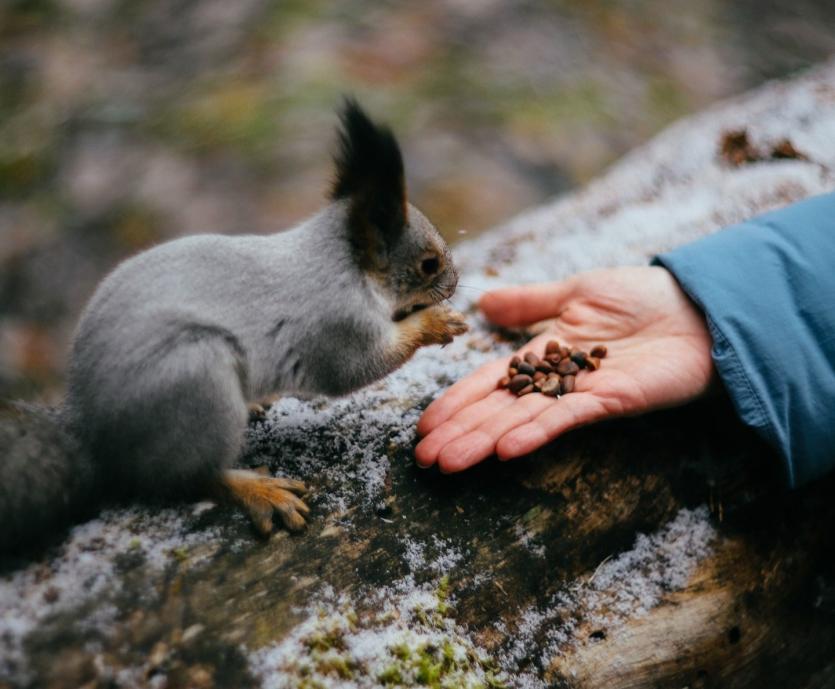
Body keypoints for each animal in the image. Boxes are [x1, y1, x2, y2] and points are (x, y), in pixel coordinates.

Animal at [0, 101, 470, 552]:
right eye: (429, 264)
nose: (454, 282)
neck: (341, 263)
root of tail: (91, 427)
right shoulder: (337, 325)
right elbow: (356, 368)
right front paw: (435, 322)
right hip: (196, 380)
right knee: (188, 477)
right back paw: (258, 490)